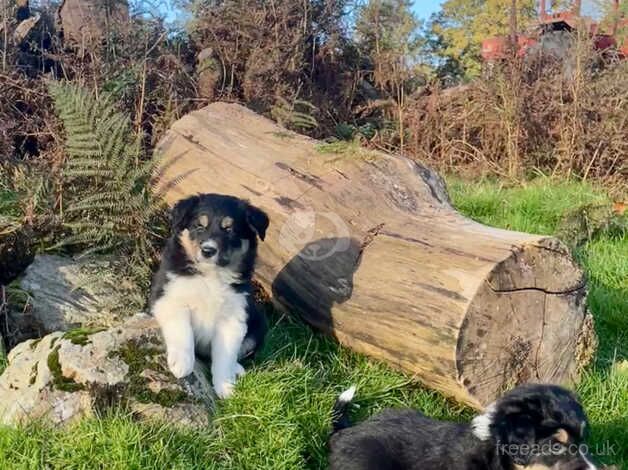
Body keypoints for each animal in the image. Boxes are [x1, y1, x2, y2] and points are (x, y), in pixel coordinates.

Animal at [152, 193, 270, 398]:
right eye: (200, 226)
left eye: (229, 230)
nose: (208, 250)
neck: (211, 275)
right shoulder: (169, 298)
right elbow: (182, 332)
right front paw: (182, 364)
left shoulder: (233, 318)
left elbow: (225, 356)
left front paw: (226, 388)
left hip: (258, 325)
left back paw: (236, 370)